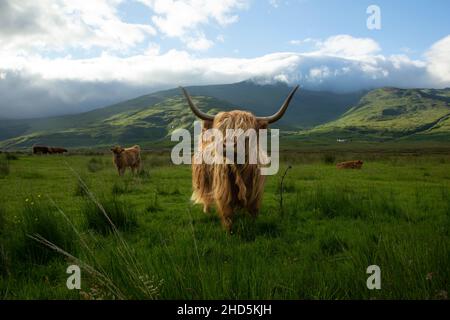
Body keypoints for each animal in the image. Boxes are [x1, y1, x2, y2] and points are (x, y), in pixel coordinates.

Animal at [179, 85, 298, 232]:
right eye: (222, 130)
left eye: (246, 133)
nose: (227, 146)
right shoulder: (224, 190)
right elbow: (227, 213)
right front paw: (230, 231)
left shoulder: (256, 193)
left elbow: (253, 212)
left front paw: (252, 227)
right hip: (203, 179)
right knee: (206, 195)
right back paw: (207, 211)